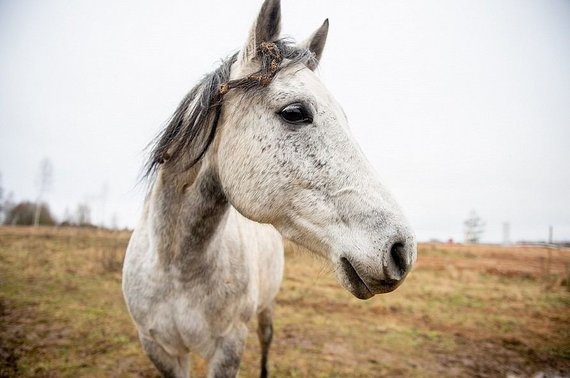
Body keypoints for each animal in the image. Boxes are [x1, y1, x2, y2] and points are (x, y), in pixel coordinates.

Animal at [123, 1, 418, 376]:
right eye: (294, 112)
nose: (401, 250)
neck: (175, 267)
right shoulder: (159, 349)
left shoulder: (229, 347)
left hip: (267, 308)